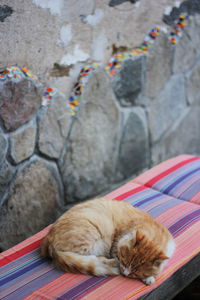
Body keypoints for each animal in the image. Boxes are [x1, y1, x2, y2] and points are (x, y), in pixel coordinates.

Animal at [40, 198, 175, 284]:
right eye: (124, 261)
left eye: (136, 272)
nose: (125, 273)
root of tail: (48, 242)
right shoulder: (115, 246)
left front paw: (148, 277)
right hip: (90, 238)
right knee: (91, 258)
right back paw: (112, 263)